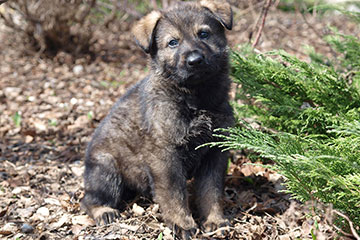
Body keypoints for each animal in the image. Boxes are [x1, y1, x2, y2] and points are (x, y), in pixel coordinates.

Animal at [81, 0, 233, 236]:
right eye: (172, 43)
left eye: (204, 34)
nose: (195, 60)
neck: (196, 98)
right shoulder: (165, 156)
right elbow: (174, 195)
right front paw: (183, 224)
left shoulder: (214, 152)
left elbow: (212, 191)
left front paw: (215, 220)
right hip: (106, 170)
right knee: (89, 199)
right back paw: (104, 211)